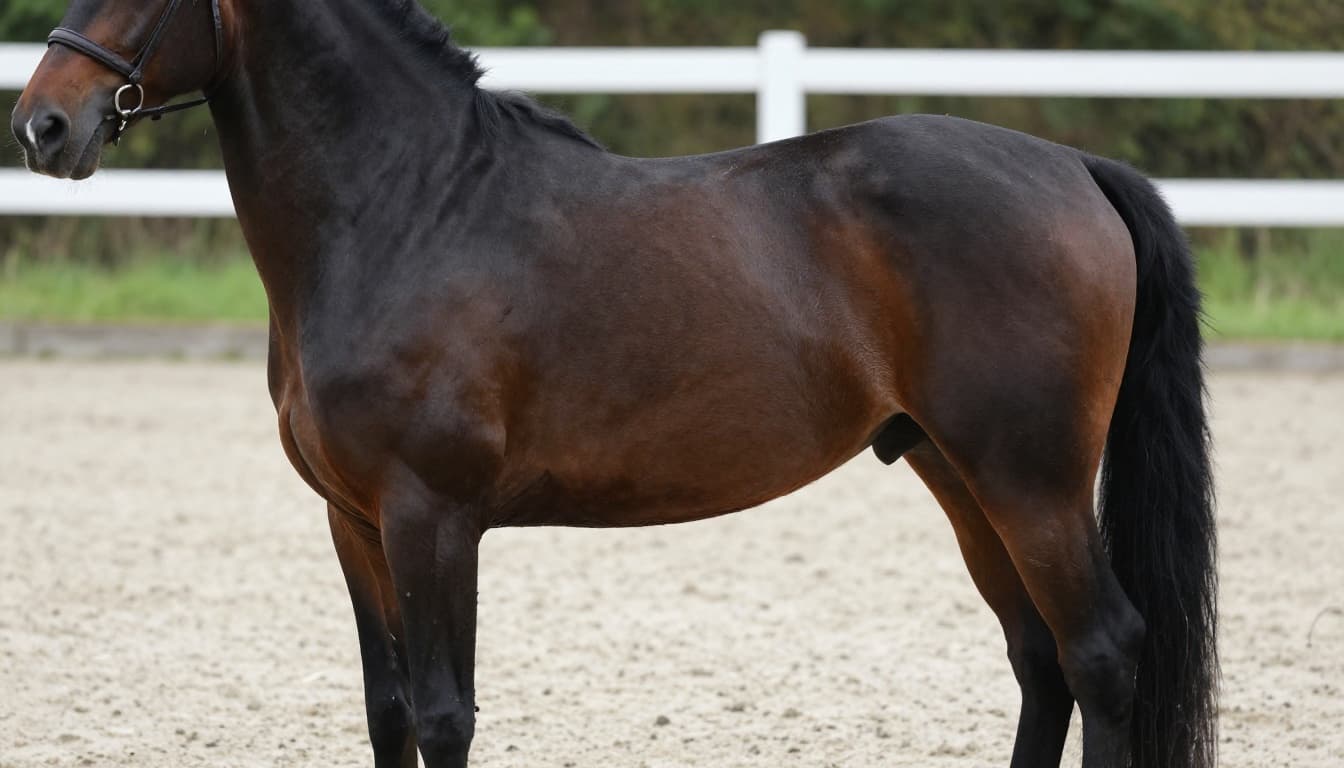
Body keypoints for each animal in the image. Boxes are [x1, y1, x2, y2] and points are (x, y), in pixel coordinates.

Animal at [11, 2, 1217, 767]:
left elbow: (446, 716)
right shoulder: (353, 522)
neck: (409, 209)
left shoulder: (430, 517)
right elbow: (388, 712)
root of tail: (1074, 167)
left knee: (1102, 654)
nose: (43, 124)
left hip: (1032, 482)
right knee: (1041, 662)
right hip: (958, 474)